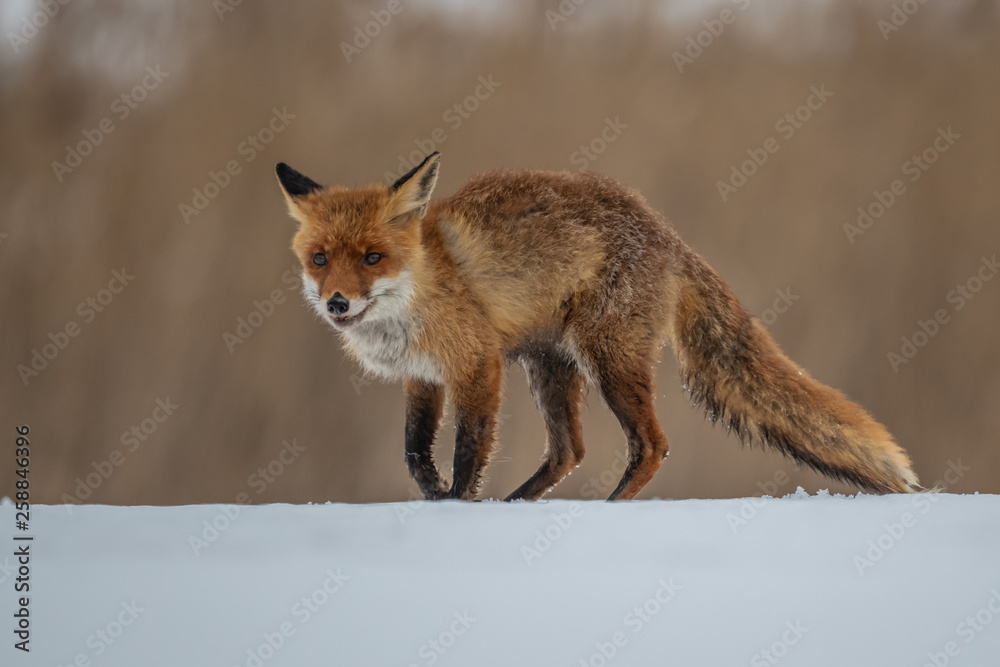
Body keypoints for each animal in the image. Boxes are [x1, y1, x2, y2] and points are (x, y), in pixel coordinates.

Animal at [274, 153, 921, 501]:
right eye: (321, 259)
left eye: (372, 258)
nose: (337, 304)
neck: (421, 286)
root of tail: (667, 233)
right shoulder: (424, 377)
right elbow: (414, 451)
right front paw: (435, 497)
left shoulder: (477, 363)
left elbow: (467, 448)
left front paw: (457, 504)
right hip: (550, 366)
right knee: (570, 451)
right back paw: (518, 505)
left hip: (607, 359)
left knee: (651, 446)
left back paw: (607, 507)